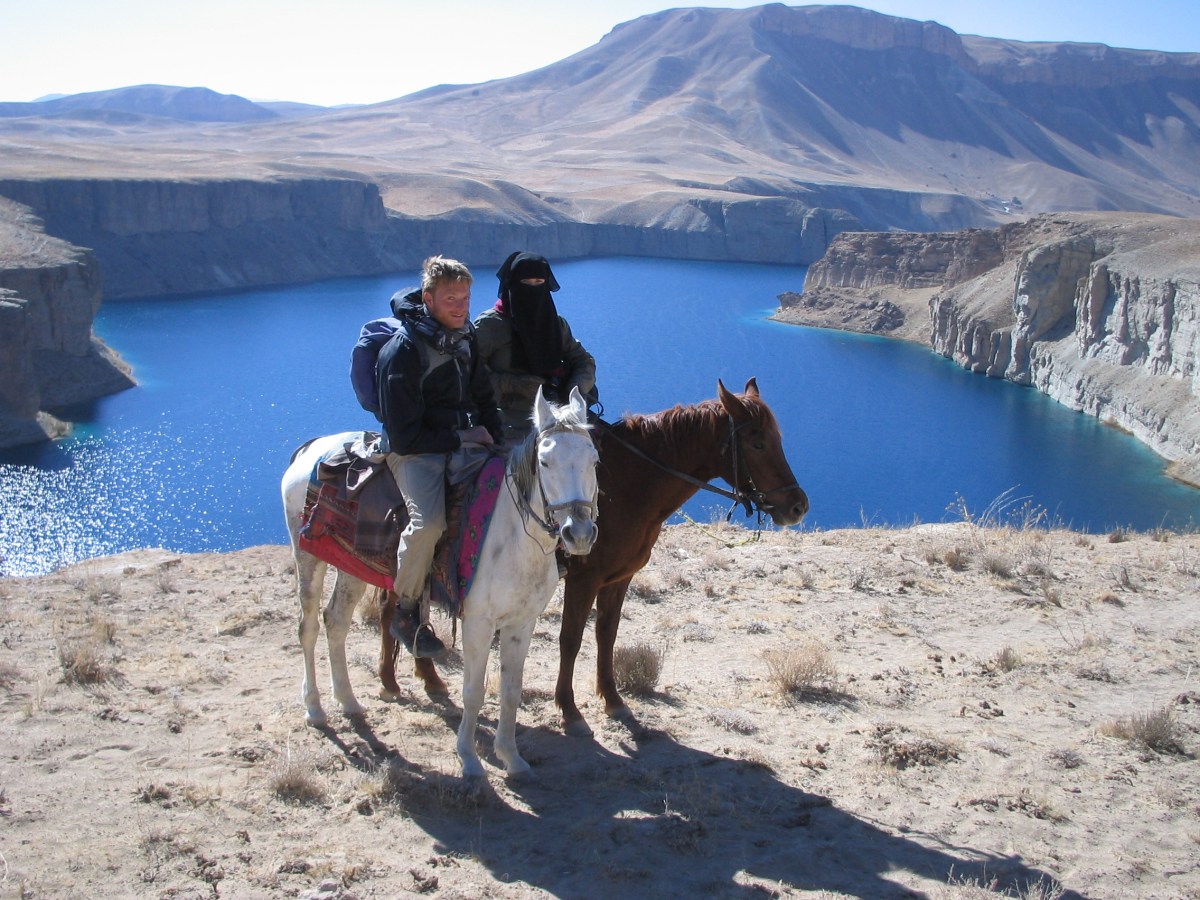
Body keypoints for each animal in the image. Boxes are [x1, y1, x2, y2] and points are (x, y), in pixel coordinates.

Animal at [281, 386, 599, 780]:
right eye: (545, 463)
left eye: (594, 460)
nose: (579, 533)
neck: (511, 533)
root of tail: (309, 449)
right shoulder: (478, 624)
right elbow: (473, 691)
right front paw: (470, 760)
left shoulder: (521, 623)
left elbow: (511, 689)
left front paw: (512, 758)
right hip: (308, 557)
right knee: (308, 627)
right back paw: (315, 708)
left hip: (350, 567)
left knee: (336, 622)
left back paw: (348, 701)